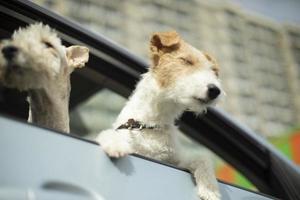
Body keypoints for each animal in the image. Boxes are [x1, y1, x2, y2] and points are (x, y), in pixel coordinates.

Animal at [96, 31, 223, 200]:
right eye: (186, 60)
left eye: (214, 71)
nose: (215, 90)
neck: (151, 124)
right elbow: (108, 134)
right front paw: (115, 145)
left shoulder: (174, 161)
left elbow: (202, 158)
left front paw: (210, 190)